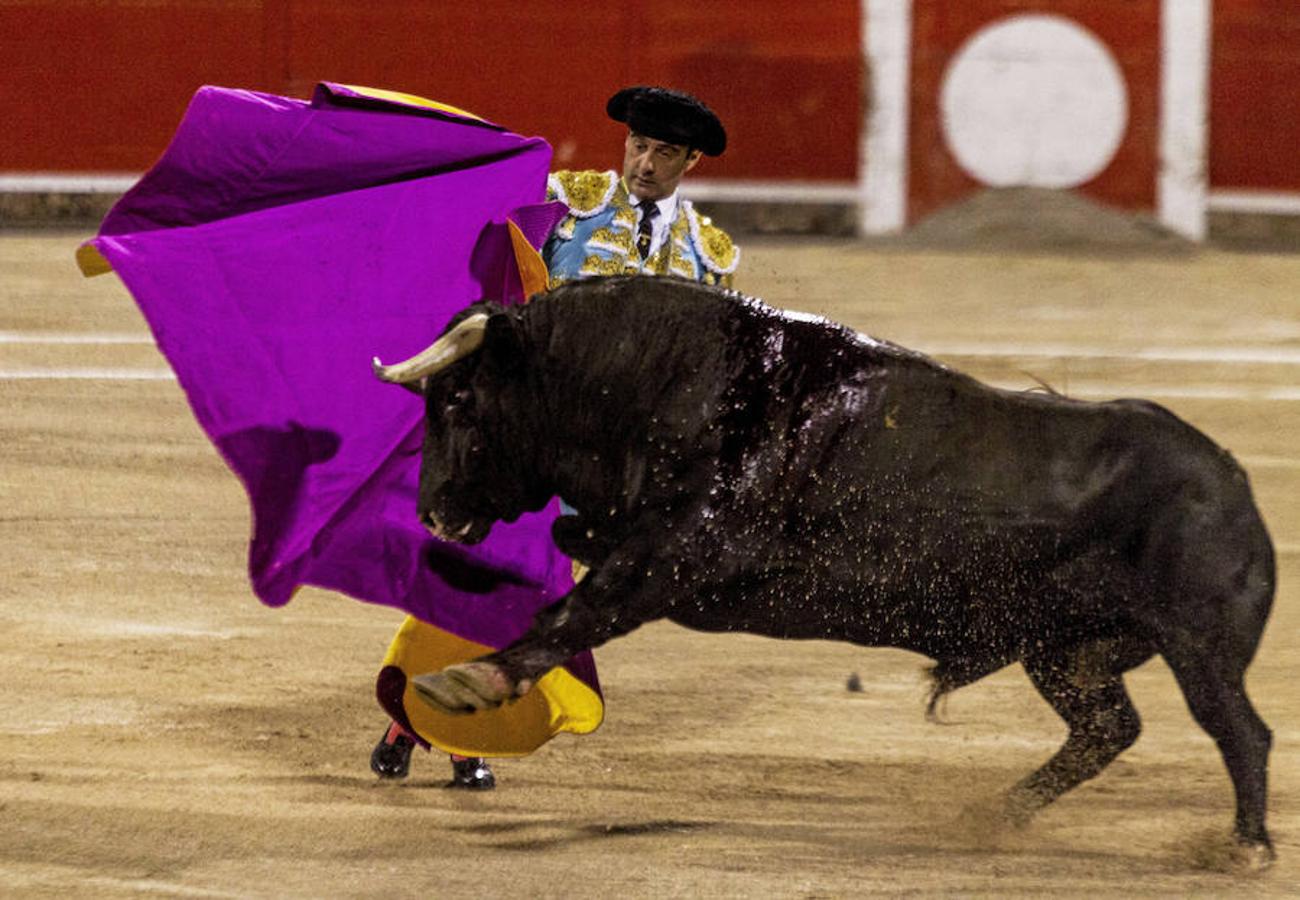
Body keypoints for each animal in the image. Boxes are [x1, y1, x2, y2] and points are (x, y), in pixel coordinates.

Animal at [371, 274, 1274, 858]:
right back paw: (995, 816)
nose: (433, 512)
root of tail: (1232, 482)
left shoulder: (682, 554)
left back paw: (1247, 846)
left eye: (458, 401)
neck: (675, 383)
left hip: (1198, 649)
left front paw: (471, 680)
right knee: (1107, 729)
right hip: (1063, 651)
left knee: (1238, 730)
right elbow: (572, 545)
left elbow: (581, 607)